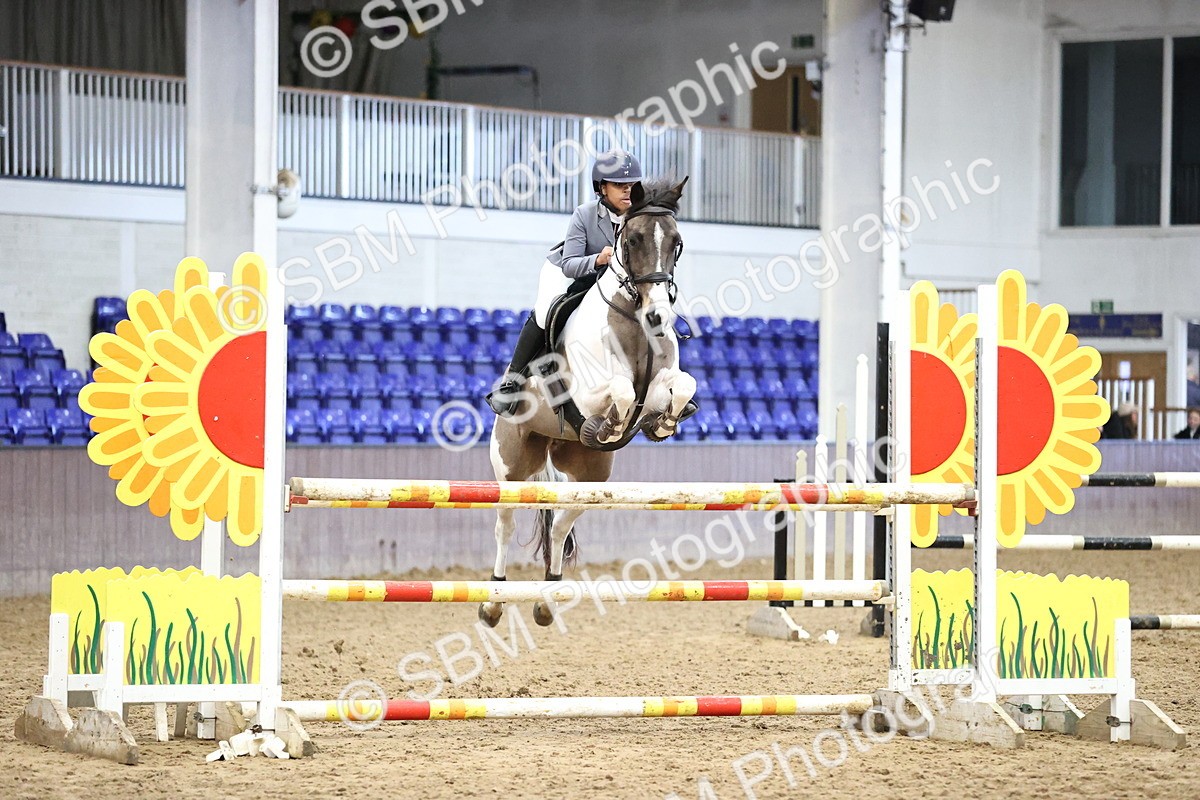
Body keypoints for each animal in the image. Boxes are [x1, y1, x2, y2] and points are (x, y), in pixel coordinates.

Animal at [479, 178, 697, 629]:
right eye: (631, 240)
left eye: (677, 243)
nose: (658, 317)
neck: (633, 318)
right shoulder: (586, 391)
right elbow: (622, 391)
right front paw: (610, 426)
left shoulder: (662, 383)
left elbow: (682, 385)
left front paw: (663, 423)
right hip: (510, 467)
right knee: (504, 526)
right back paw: (492, 602)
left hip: (589, 475)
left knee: (561, 526)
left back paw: (547, 600)